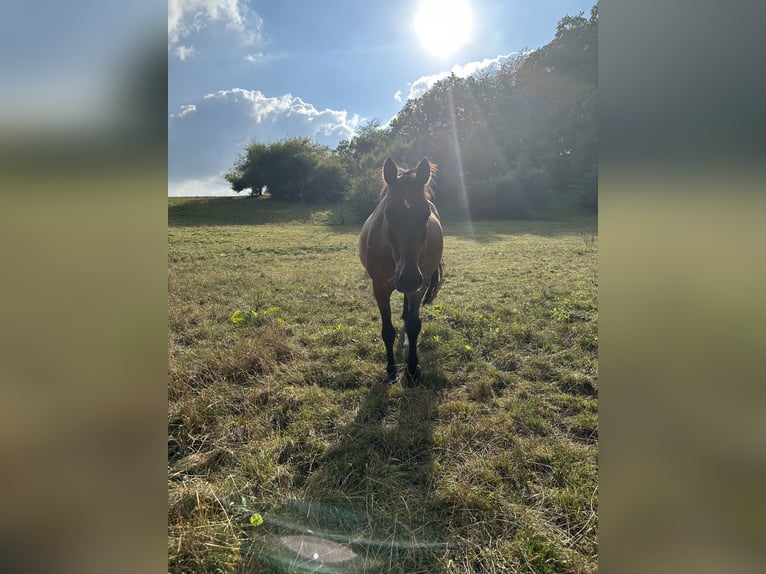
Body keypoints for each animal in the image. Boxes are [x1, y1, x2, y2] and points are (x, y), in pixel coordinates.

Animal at [362, 158, 448, 384]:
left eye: (426, 214)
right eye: (388, 213)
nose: (408, 278)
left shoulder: (420, 284)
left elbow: (414, 325)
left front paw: (412, 369)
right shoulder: (379, 287)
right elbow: (387, 331)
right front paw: (391, 370)